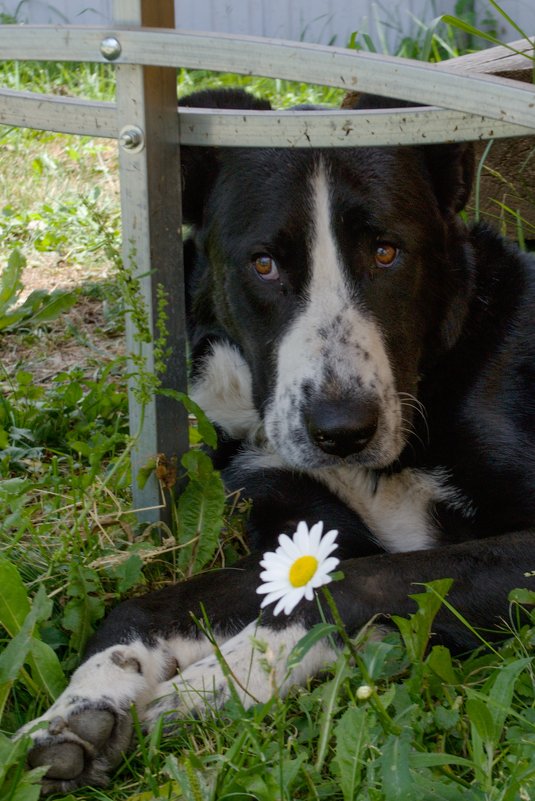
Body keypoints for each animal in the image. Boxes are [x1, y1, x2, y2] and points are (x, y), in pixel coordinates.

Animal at [21, 90, 535, 792]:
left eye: (387, 252)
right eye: (263, 264)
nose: (342, 431)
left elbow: (366, 581)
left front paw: (225, 677)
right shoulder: (301, 527)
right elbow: (167, 599)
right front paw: (85, 697)